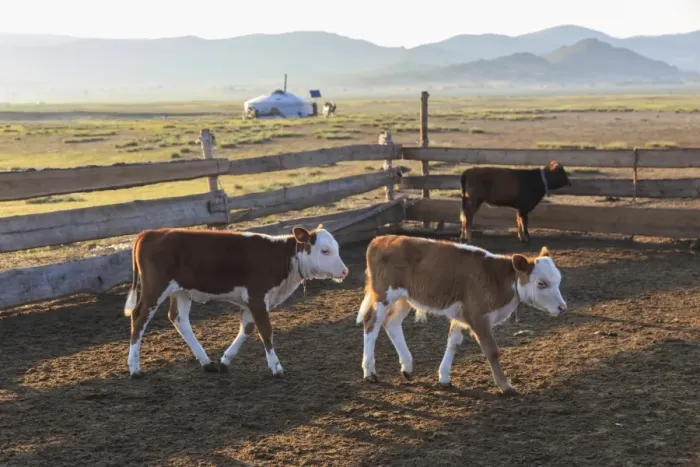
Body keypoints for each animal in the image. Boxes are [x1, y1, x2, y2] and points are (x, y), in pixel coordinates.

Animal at [123, 224, 349, 378]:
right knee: (139, 316)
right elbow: (266, 331)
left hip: (181, 291)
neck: (282, 258)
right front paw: (276, 367)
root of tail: (150, 233)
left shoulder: (251, 302)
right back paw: (134, 367)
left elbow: (247, 329)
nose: (345, 271)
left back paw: (207, 362)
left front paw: (225, 360)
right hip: (155, 288)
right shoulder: (257, 298)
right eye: (325, 250)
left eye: (337, 248)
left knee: (179, 319)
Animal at [356, 234, 567, 395]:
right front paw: (506, 386)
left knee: (391, 323)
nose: (562, 308)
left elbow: (454, 342)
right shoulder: (478, 317)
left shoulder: (463, 314)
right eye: (541, 283)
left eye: (558, 280)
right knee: (371, 324)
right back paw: (369, 372)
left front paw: (444, 377)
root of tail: (381, 240)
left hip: (404, 298)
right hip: (384, 295)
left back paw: (407, 366)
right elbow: (492, 351)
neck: (497, 278)